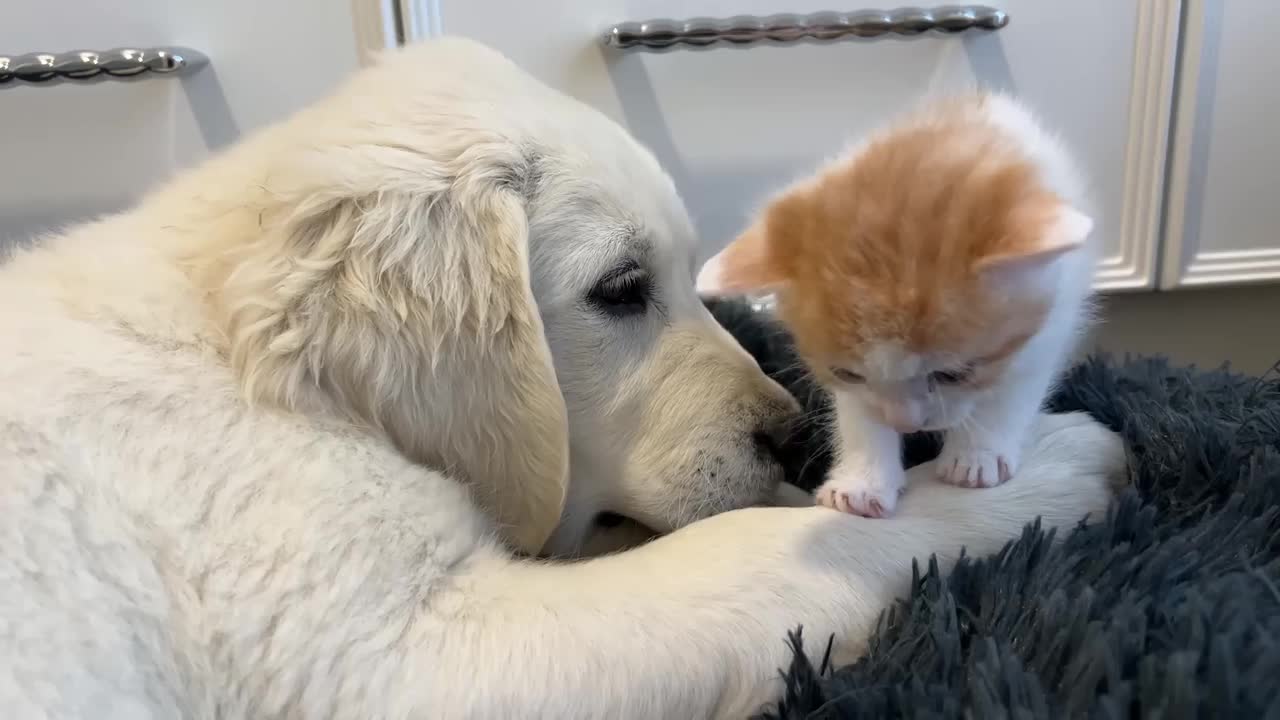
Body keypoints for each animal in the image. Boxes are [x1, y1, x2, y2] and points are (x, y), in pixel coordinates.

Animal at [701, 94, 1100, 515]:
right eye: (847, 373)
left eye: (953, 374)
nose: (907, 423)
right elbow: (861, 411)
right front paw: (861, 483)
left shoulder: (1051, 322)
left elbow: (1011, 388)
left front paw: (977, 455)